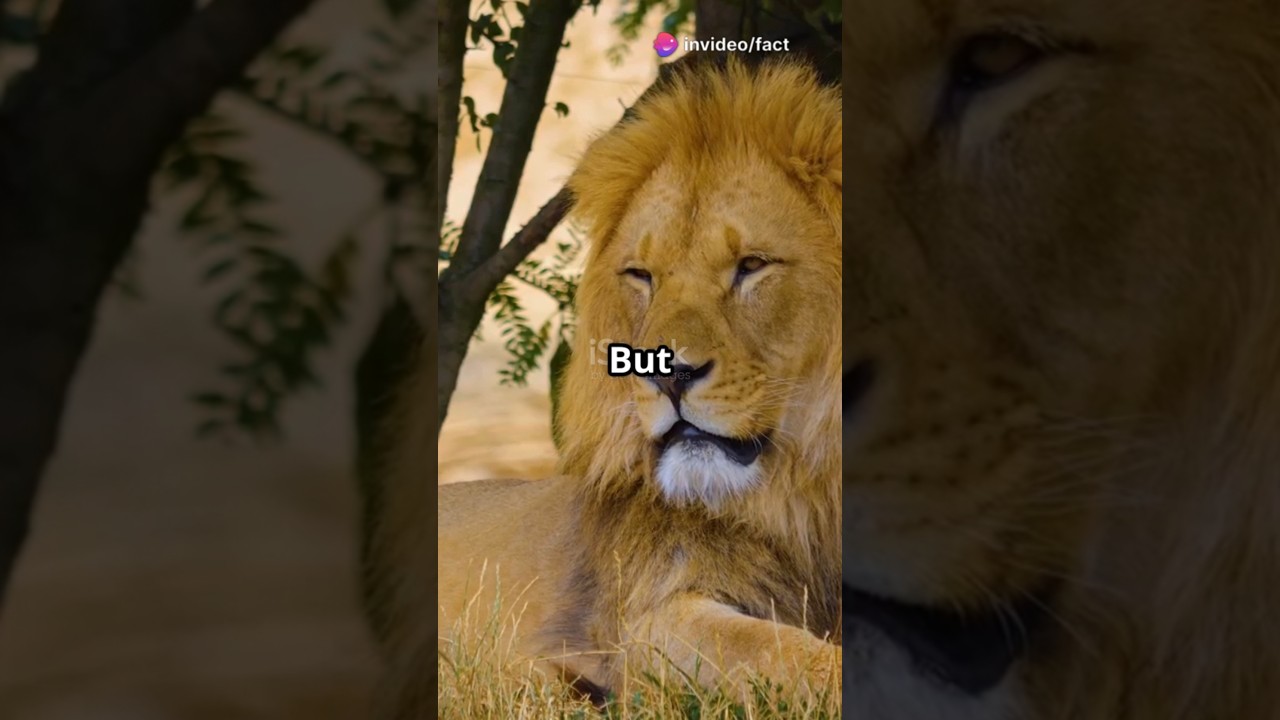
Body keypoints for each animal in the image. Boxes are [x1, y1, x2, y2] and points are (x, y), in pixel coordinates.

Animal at [428, 55, 843, 708]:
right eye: (641, 275)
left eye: (751, 266)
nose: (665, 372)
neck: (804, 504)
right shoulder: (651, 621)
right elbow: (784, 654)